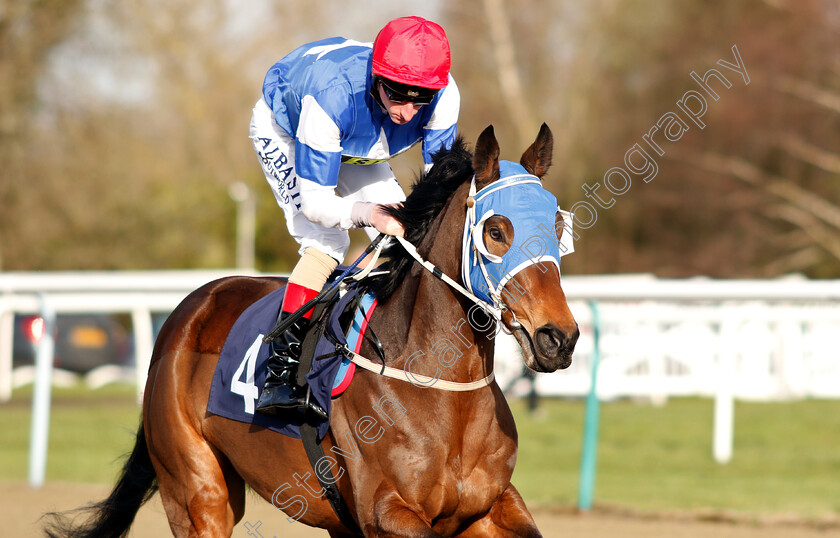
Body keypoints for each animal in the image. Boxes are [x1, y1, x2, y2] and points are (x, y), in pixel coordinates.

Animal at [44, 123, 576, 532]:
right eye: (496, 230)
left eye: (556, 224)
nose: (559, 337)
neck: (441, 386)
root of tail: (186, 312)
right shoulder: (387, 513)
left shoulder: (490, 507)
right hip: (198, 493)